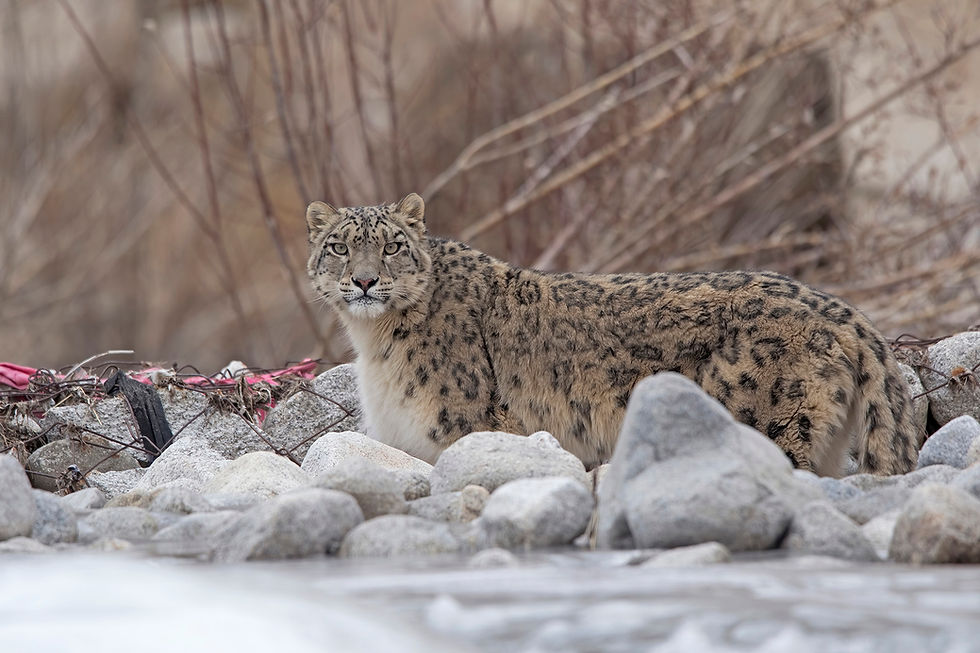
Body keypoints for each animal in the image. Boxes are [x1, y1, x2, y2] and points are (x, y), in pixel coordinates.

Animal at [306, 193, 920, 476]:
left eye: (392, 245)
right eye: (338, 246)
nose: (365, 280)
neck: (375, 345)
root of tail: (843, 310)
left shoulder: (461, 432)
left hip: (768, 422)